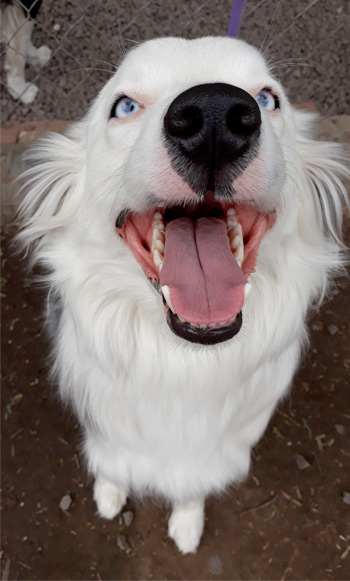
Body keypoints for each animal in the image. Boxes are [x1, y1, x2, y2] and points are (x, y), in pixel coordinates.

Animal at [18, 36, 348, 552]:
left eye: (269, 98)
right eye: (124, 106)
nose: (214, 115)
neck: (183, 361)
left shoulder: (219, 448)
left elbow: (192, 485)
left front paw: (188, 524)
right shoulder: (104, 419)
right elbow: (112, 459)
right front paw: (109, 493)